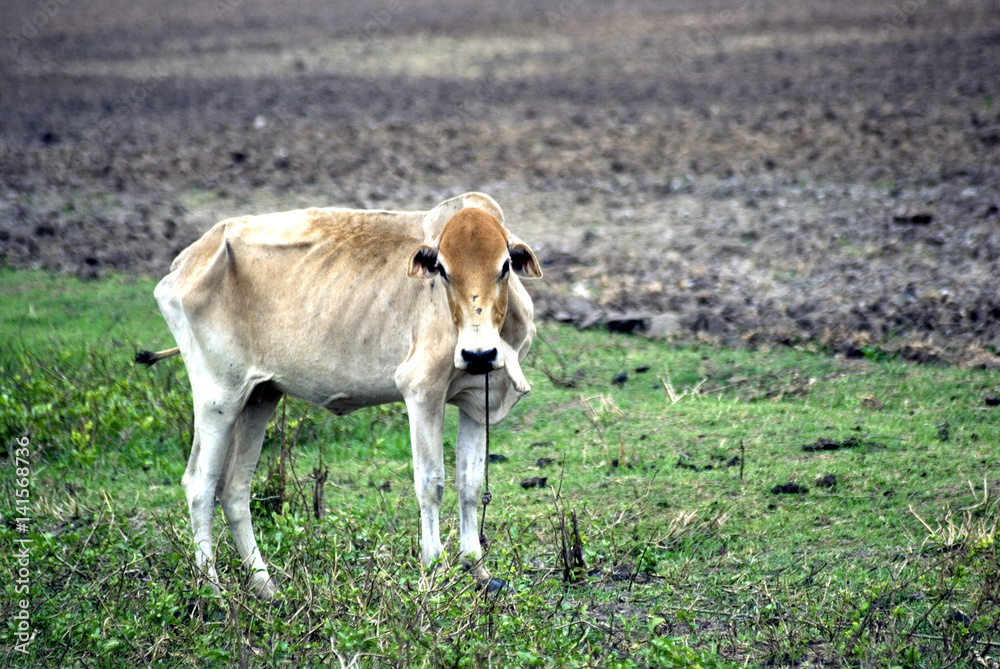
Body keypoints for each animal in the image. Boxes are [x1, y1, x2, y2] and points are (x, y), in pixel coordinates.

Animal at [137, 192, 541, 598]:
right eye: (442, 270)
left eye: (505, 266)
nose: (478, 355)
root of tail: (186, 260)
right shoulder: (422, 392)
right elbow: (431, 484)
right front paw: (432, 575)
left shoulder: (476, 404)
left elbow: (470, 484)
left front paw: (479, 572)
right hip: (218, 397)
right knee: (199, 486)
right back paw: (213, 591)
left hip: (259, 396)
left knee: (234, 489)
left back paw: (267, 588)